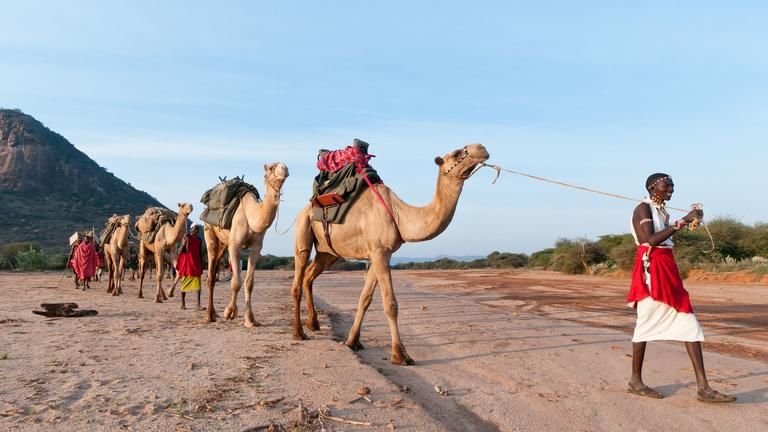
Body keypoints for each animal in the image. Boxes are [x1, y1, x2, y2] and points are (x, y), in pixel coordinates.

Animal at [203, 162, 289, 326]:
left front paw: (250, 319)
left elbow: (249, 283)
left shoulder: (256, 248)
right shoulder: (235, 245)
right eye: (271, 168)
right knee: (210, 274)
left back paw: (214, 313)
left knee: (216, 266)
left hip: (223, 243)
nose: (284, 168)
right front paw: (229, 312)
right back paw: (209, 315)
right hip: (209, 232)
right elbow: (236, 282)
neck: (252, 215)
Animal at [291, 144, 490, 365]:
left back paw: (313, 323)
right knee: (298, 277)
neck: (399, 215)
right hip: (304, 229)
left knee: (309, 276)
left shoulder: (379, 253)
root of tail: (306, 207)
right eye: (456, 153)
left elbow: (365, 298)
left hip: (328, 252)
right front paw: (400, 354)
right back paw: (299, 333)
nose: (481, 148)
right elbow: (390, 303)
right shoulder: (379, 251)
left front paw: (353, 341)